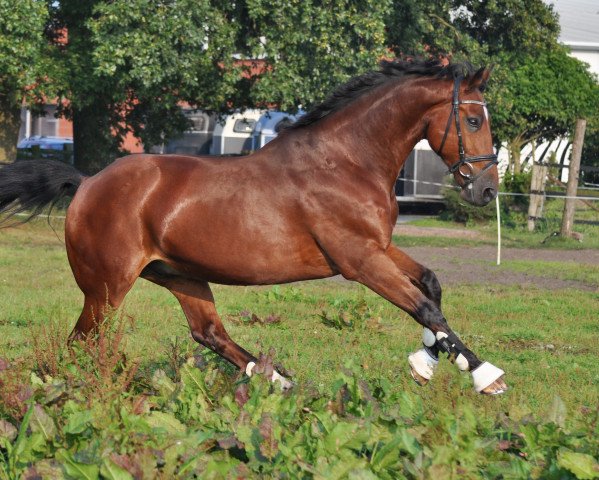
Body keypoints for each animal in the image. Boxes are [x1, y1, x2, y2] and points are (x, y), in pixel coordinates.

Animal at [0, 59, 506, 394]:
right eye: (473, 119)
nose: (486, 190)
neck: (346, 161)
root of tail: (87, 183)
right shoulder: (359, 259)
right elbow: (424, 308)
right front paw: (485, 376)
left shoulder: (378, 247)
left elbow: (430, 285)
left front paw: (427, 362)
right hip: (106, 287)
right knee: (81, 343)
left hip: (181, 275)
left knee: (210, 334)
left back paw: (280, 380)